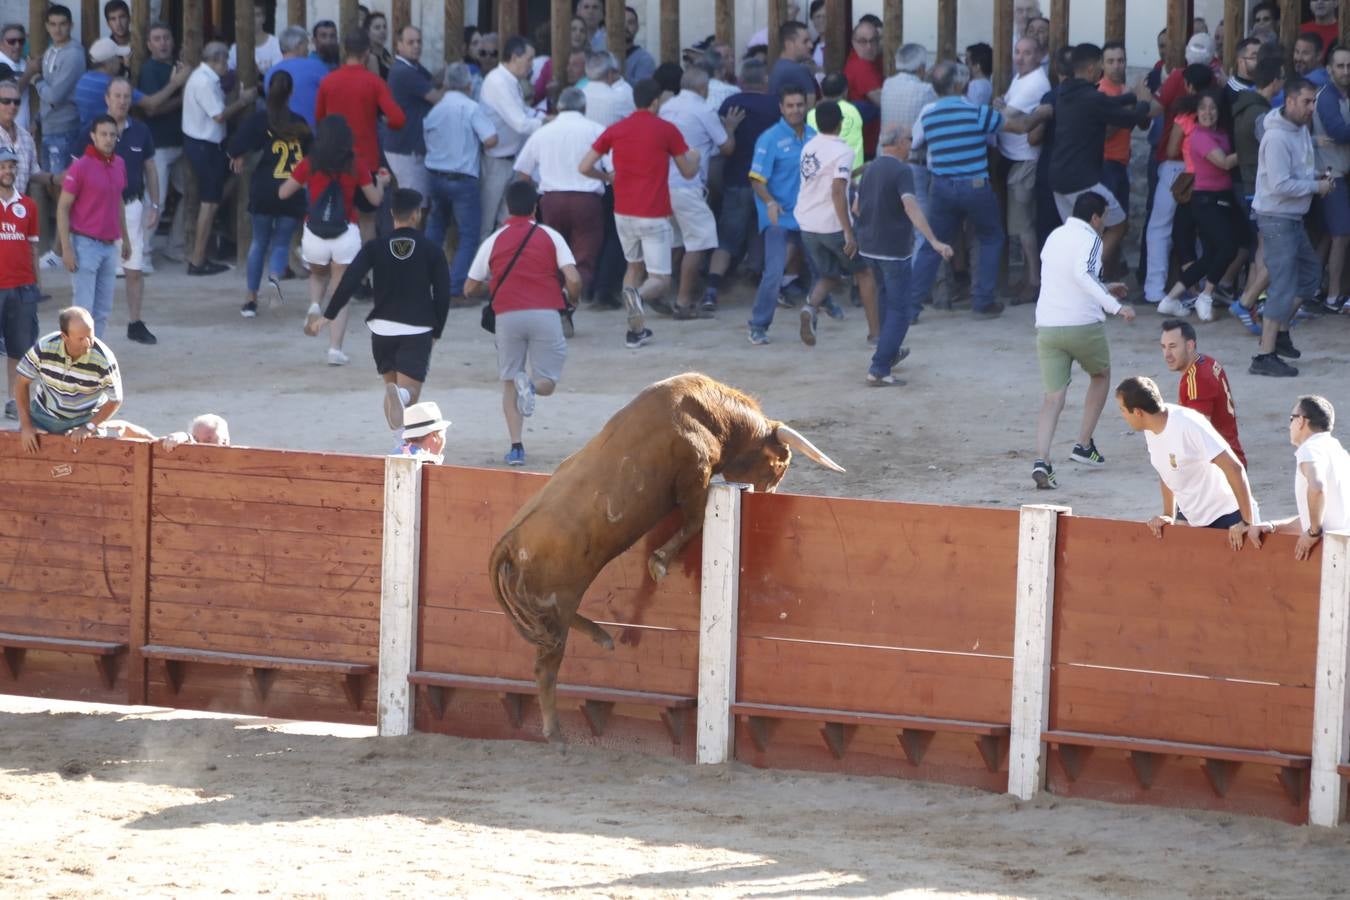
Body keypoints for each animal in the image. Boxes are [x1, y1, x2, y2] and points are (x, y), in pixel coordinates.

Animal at [486, 369, 842, 744]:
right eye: (781, 463)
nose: (769, 495)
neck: (711, 413)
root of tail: (508, 542)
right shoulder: (695, 475)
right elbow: (695, 520)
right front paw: (658, 562)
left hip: (553, 605)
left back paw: (603, 638)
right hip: (556, 603)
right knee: (546, 665)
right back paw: (554, 731)